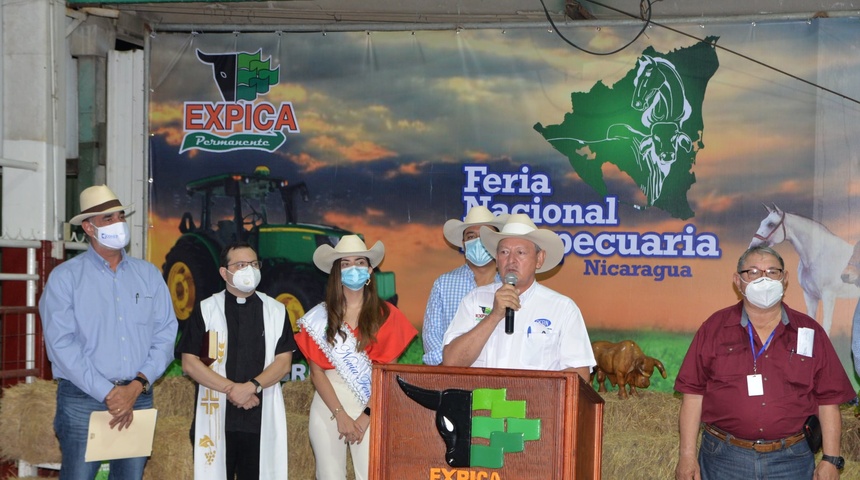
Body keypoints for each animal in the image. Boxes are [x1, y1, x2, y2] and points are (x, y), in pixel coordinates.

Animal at [744, 205, 860, 334]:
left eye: (771, 224)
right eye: (762, 222)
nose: (752, 245)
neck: (818, 255)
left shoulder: (828, 295)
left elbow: (826, 325)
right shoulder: (810, 296)